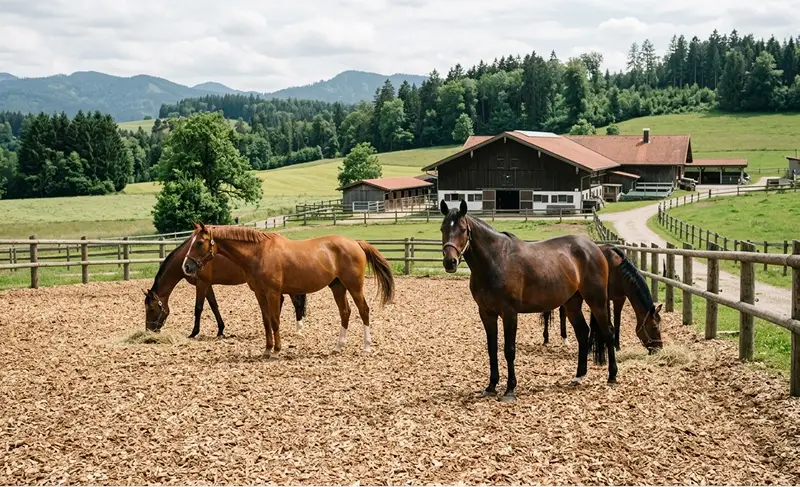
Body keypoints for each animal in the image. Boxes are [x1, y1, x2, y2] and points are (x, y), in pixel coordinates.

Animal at [143, 237, 308, 338]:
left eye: (151, 308)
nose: (149, 330)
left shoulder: (202, 284)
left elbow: (198, 308)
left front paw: (194, 332)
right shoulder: (207, 285)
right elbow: (214, 306)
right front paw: (220, 330)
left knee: (296, 302)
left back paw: (298, 328)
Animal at [181, 223, 395, 357]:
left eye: (199, 242)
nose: (186, 267)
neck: (259, 252)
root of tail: (356, 243)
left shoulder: (273, 293)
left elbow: (275, 320)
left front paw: (276, 351)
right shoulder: (260, 294)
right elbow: (266, 321)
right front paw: (267, 349)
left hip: (354, 286)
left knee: (363, 311)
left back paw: (366, 347)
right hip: (337, 286)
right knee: (345, 312)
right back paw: (338, 346)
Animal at [439, 199, 616, 402]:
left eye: (462, 229)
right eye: (443, 228)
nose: (450, 262)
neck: (496, 259)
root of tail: (595, 248)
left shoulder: (509, 313)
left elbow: (509, 350)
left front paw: (510, 390)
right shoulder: (486, 313)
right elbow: (492, 349)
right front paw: (491, 386)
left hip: (597, 301)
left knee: (608, 333)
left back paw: (612, 376)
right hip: (572, 304)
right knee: (582, 333)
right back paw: (578, 376)